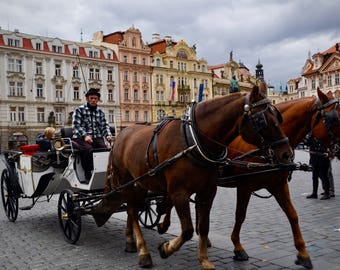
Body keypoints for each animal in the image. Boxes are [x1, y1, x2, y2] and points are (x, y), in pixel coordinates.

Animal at [105, 86, 290, 268]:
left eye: (278, 117)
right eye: (262, 120)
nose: (287, 154)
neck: (192, 139)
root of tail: (119, 136)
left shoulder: (207, 192)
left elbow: (203, 227)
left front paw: (204, 259)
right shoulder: (179, 193)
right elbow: (187, 230)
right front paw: (166, 248)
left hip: (141, 184)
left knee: (133, 210)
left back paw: (130, 241)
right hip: (127, 183)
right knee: (132, 211)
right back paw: (143, 252)